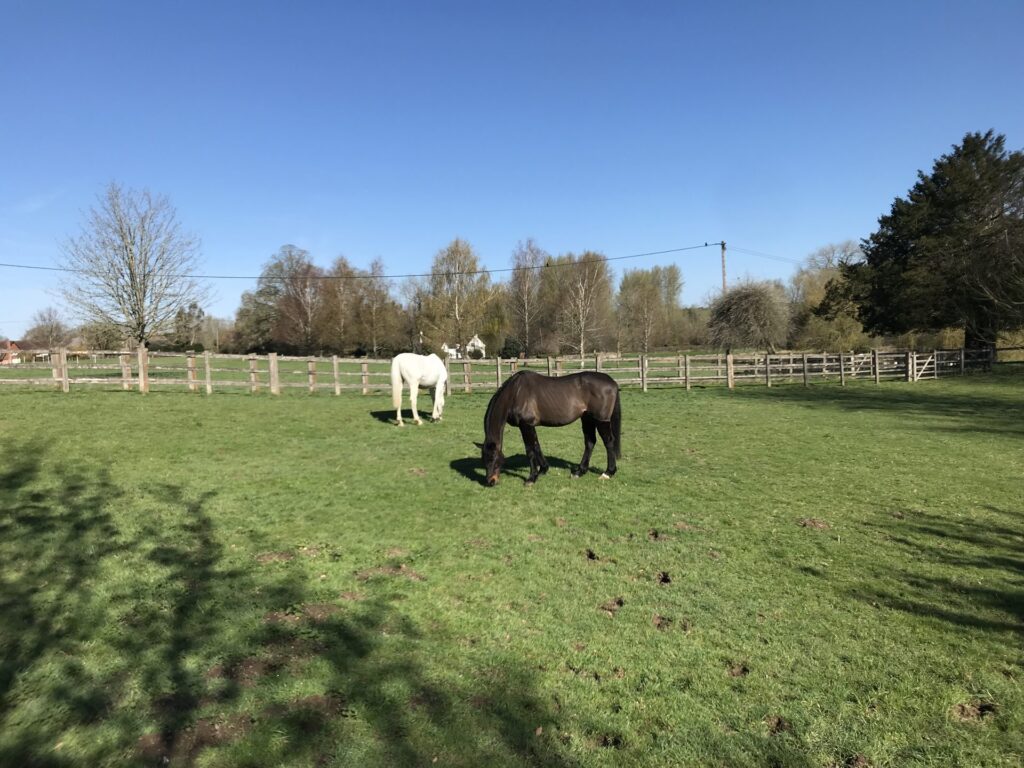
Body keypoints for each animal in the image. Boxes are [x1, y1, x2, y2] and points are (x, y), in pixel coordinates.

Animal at [477, 368, 618, 487]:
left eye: (492, 458)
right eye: (483, 459)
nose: (490, 481)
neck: (515, 393)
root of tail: (612, 382)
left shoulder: (525, 425)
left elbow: (530, 450)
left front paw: (531, 478)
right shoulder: (530, 426)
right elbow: (536, 446)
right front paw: (543, 469)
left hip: (601, 420)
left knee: (609, 442)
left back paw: (608, 473)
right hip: (587, 418)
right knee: (590, 442)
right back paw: (579, 471)